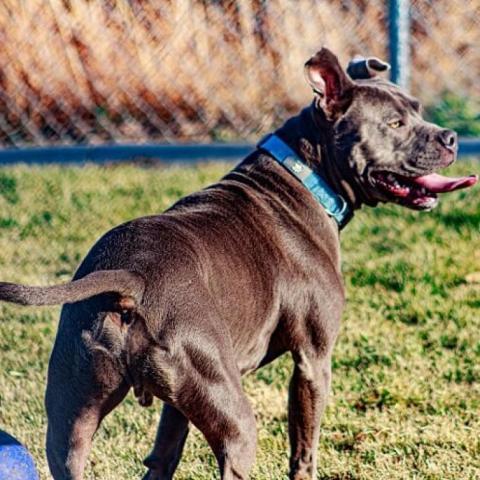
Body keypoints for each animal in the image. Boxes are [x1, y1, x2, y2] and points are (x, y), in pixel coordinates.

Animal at [0, 49, 476, 480]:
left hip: (71, 417)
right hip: (235, 419)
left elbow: (164, 452)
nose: (451, 137)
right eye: (395, 123)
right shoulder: (312, 361)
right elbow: (304, 449)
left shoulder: (177, 405)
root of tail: (131, 278)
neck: (305, 175)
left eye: (417, 109)